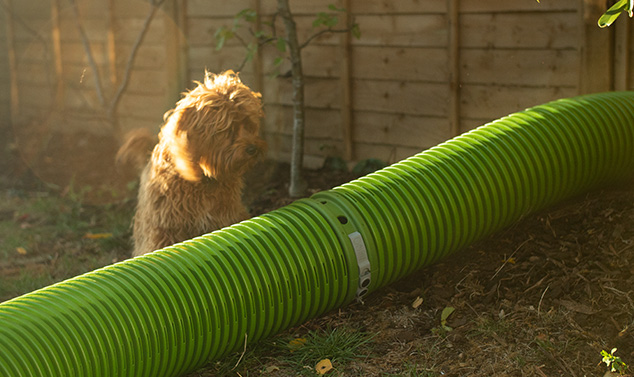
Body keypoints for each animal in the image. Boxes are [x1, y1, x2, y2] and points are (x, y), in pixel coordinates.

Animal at [117, 70, 266, 256]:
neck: (204, 180)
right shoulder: (165, 229)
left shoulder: (226, 216)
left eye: (248, 123)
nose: (253, 149)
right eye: (228, 129)